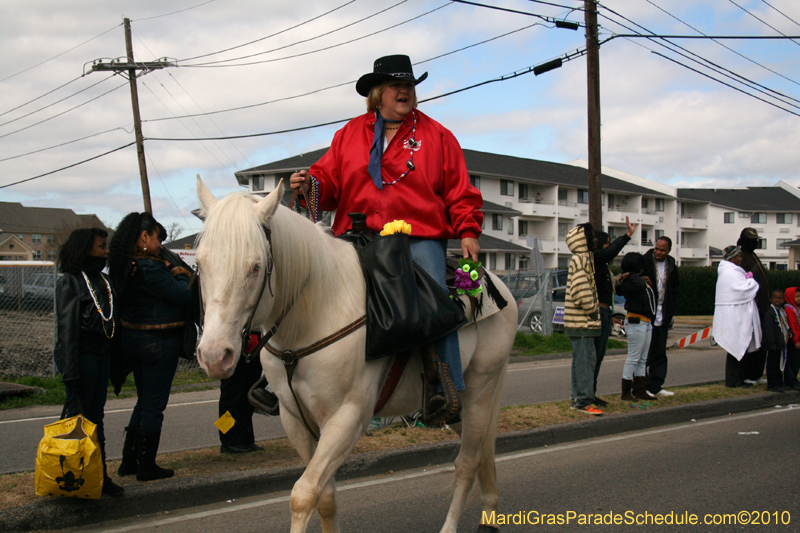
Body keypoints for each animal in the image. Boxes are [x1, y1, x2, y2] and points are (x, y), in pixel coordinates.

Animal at [195, 177, 520, 528]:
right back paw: (489, 514)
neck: (315, 314)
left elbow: (303, 495)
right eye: (199, 263)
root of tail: (497, 288)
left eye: (255, 267)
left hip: (480, 393)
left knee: (467, 463)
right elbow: (324, 498)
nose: (214, 356)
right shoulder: (295, 420)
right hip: (462, 409)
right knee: (483, 457)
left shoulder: (347, 418)